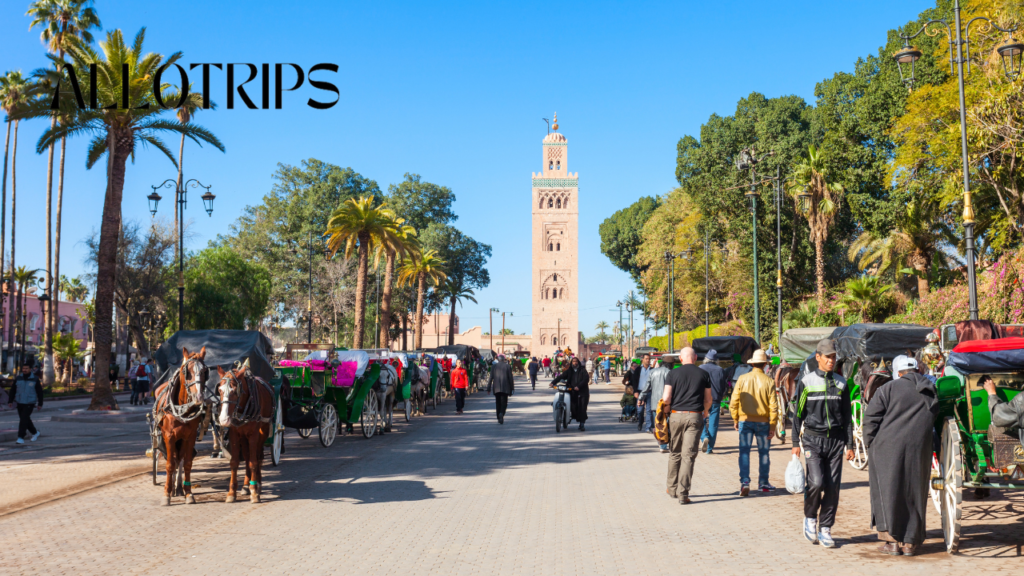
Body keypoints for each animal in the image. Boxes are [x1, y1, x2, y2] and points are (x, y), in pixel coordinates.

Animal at [151, 344, 207, 502]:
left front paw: (187, 492)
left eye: (205, 371)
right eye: (186, 372)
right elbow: (170, 464)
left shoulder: (189, 436)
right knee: (172, 459)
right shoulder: (169, 436)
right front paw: (166, 494)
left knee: (179, 459)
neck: (182, 410)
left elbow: (186, 462)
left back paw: (178, 487)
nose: (199, 397)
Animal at [216, 362, 274, 502]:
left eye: (234, 391)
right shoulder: (234, 434)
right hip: (243, 436)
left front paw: (254, 492)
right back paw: (246, 486)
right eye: (219, 390)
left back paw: (257, 484)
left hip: (262, 432)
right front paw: (232, 493)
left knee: (257, 456)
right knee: (248, 457)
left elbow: (253, 462)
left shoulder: (253, 435)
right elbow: (234, 462)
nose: (224, 419)